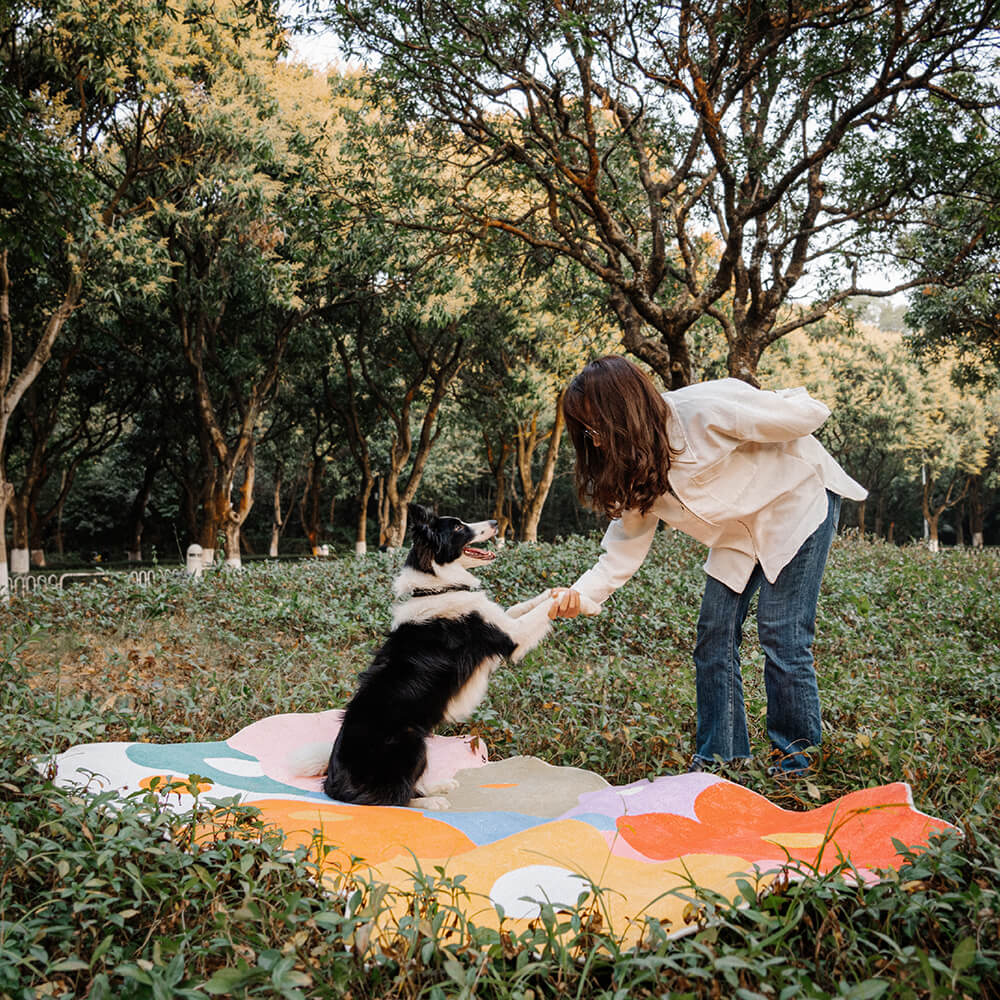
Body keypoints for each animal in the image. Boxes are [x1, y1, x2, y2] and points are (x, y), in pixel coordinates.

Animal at [290, 504, 592, 808]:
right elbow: (543, 609)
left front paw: (569, 592)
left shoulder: (501, 619)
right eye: (458, 527)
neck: (436, 586)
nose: (496, 522)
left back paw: (437, 786)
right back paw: (431, 801)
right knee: (395, 799)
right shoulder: (511, 636)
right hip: (412, 742)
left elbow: (529, 602)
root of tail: (334, 784)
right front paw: (587, 603)